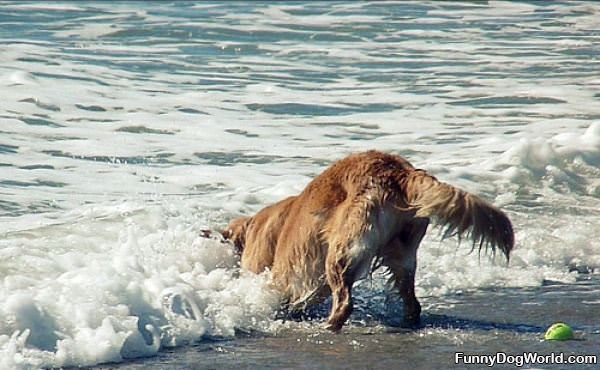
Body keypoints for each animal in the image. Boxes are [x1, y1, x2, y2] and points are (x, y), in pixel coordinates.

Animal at [223, 150, 512, 332]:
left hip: (342, 249)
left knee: (344, 301)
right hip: (403, 254)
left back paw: (329, 326)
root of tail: (399, 170)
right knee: (412, 301)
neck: (254, 226)